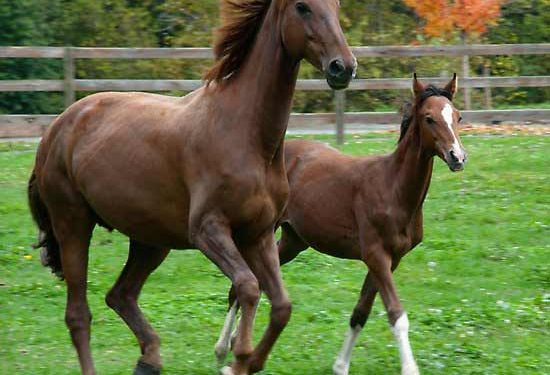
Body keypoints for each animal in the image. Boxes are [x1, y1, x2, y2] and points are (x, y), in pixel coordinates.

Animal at [29, 1, 358, 374]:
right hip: (73, 225)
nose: (343, 67)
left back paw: (149, 360)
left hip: (150, 241)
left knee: (120, 295)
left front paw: (249, 361)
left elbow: (281, 305)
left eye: (336, 6)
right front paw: (236, 358)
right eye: (302, 7)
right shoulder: (208, 230)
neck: (246, 135)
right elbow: (248, 287)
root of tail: (58, 126)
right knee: (78, 314)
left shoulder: (258, 234)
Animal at [218, 75, 468, 374]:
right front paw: (410, 368)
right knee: (239, 287)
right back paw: (223, 349)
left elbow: (360, 312)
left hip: (293, 242)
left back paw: (234, 343)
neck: (393, 188)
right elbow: (397, 314)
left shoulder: (391, 260)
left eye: (458, 116)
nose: (457, 157)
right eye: (429, 118)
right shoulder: (376, 255)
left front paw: (340, 366)